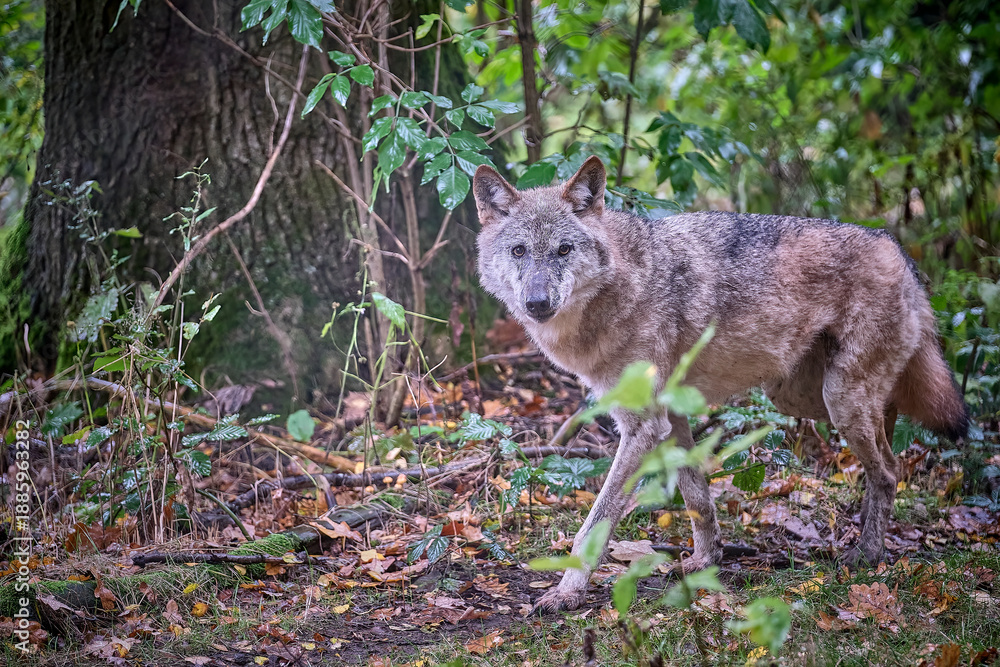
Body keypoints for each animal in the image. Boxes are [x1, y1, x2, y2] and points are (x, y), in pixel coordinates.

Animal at [473, 156, 968, 612]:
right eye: (519, 251)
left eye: (563, 250)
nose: (537, 302)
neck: (625, 286)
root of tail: (898, 249)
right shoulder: (670, 418)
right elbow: (698, 496)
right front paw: (705, 561)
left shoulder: (642, 427)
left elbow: (596, 521)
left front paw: (568, 591)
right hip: (803, 399)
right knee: (887, 447)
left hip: (837, 401)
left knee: (889, 471)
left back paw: (867, 554)